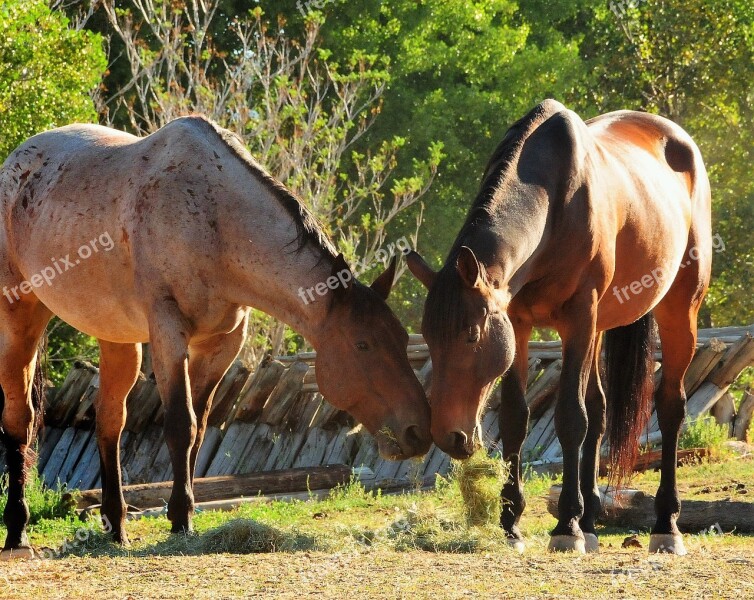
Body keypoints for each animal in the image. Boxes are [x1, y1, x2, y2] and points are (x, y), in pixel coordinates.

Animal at [0, 116, 428, 556]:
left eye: (401, 339)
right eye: (362, 345)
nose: (419, 432)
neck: (214, 219)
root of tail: (17, 162)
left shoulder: (221, 345)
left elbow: (199, 428)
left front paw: (183, 511)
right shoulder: (169, 333)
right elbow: (181, 425)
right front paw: (179, 519)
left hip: (116, 338)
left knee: (109, 421)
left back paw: (115, 527)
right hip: (19, 317)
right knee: (20, 419)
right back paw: (17, 531)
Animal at [408, 98, 708, 552]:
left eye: (471, 335)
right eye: (428, 337)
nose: (448, 436)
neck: (554, 203)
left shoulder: (578, 318)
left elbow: (570, 416)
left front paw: (566, 525)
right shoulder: (519, 323)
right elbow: (517, 417)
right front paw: (512, 522)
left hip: (678, 309)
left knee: (670, 406)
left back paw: (664, 525)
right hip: (602, 325)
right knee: (600, 409)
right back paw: (593, 520)